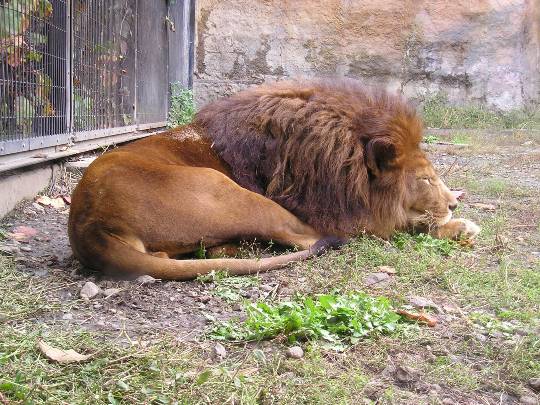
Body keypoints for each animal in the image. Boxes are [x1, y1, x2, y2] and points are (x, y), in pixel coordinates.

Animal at [68, 79, 480, 280]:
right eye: (425, 179)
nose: (453, 202)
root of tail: (91, 225)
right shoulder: (343, 213)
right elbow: (398, 226)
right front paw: (459, 225)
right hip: (231, 193)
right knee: (311, 239)